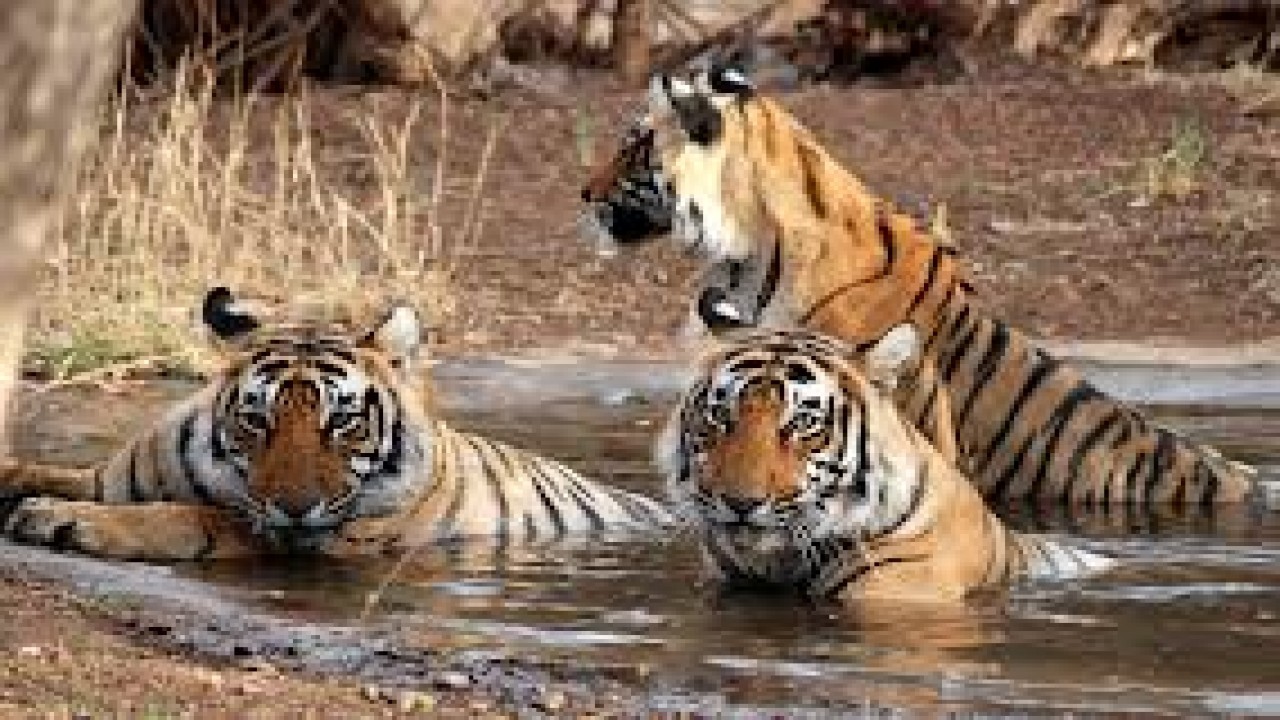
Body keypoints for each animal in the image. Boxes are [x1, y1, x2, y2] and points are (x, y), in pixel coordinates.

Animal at [0, 287, 670, 560]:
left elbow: (196, 517)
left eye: (343, 421)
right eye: (256, 419)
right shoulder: (105, 477)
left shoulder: (319, 537)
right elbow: (41, 469)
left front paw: (58, 519)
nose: (296, 508)